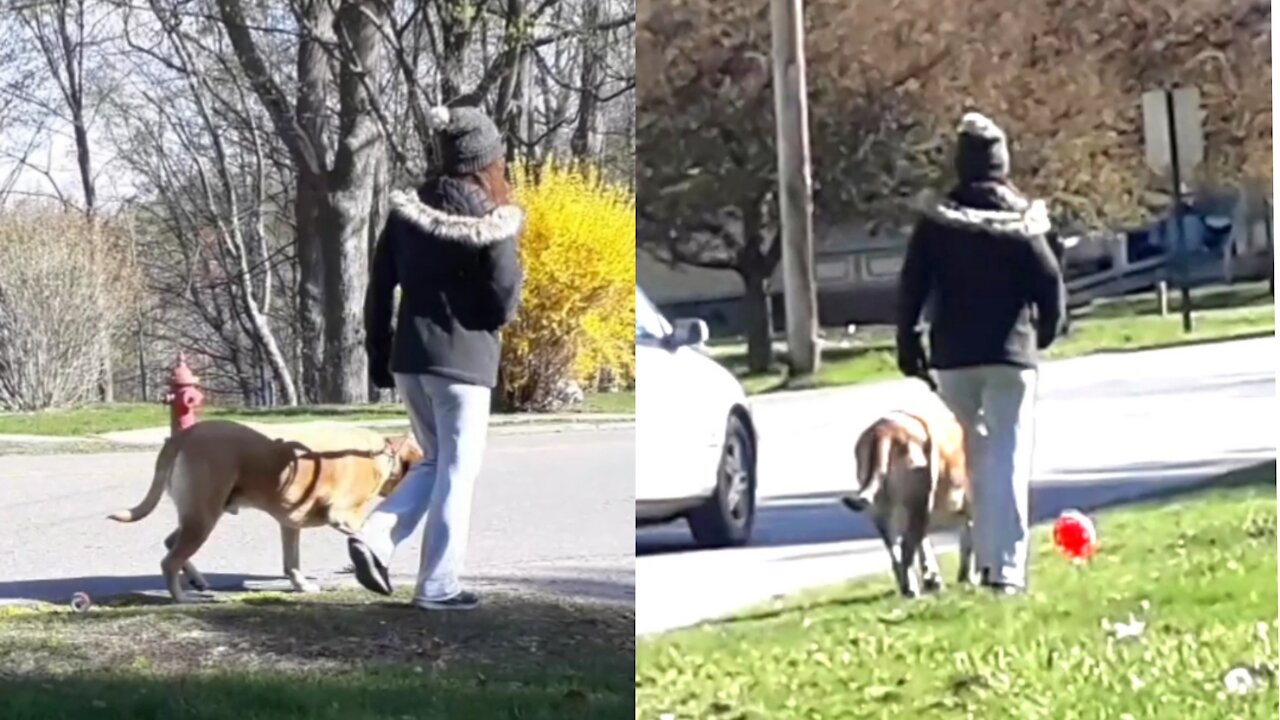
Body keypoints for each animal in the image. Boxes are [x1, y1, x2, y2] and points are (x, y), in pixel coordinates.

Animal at [110, 415, 419, 599]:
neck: (385, 453)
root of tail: (183, 435)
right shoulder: (344, 516)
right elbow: (370, 536)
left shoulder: (290, 523)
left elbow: (291, 561)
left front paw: (301, 584)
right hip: (204, 515)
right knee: (170, 560)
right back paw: (181, 597)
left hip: (203, 512)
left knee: (170, 542)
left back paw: (197, 581)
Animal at [844, 397, 972, 594]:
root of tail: (883, 429)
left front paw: (936, 579)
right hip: (918, 502)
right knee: (906, 548)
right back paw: (912, 590)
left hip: (885, 509)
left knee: (895, 550)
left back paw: (908, 587)